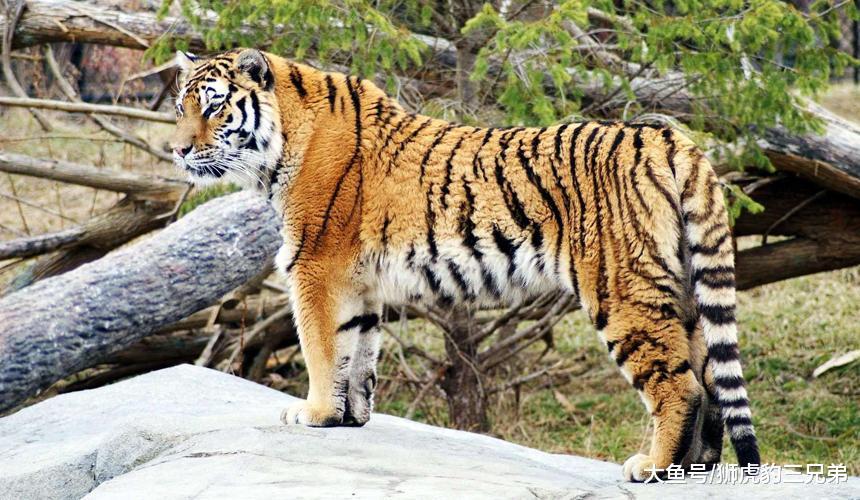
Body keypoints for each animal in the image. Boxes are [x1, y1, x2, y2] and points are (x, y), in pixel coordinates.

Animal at [171, 48, 760, 481]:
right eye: (181, 108)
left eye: (215, 108)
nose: (177, 151)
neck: (280, 148)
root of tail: (665, 136)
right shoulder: (359, 283)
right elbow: (357, 352)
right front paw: (347, 418)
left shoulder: (314, 268)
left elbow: (320, 349)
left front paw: (312, 413)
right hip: (682, 287)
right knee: (709, 379)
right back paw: (696, 468)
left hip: (622, 290)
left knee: (679, 385)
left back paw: (652, 466)